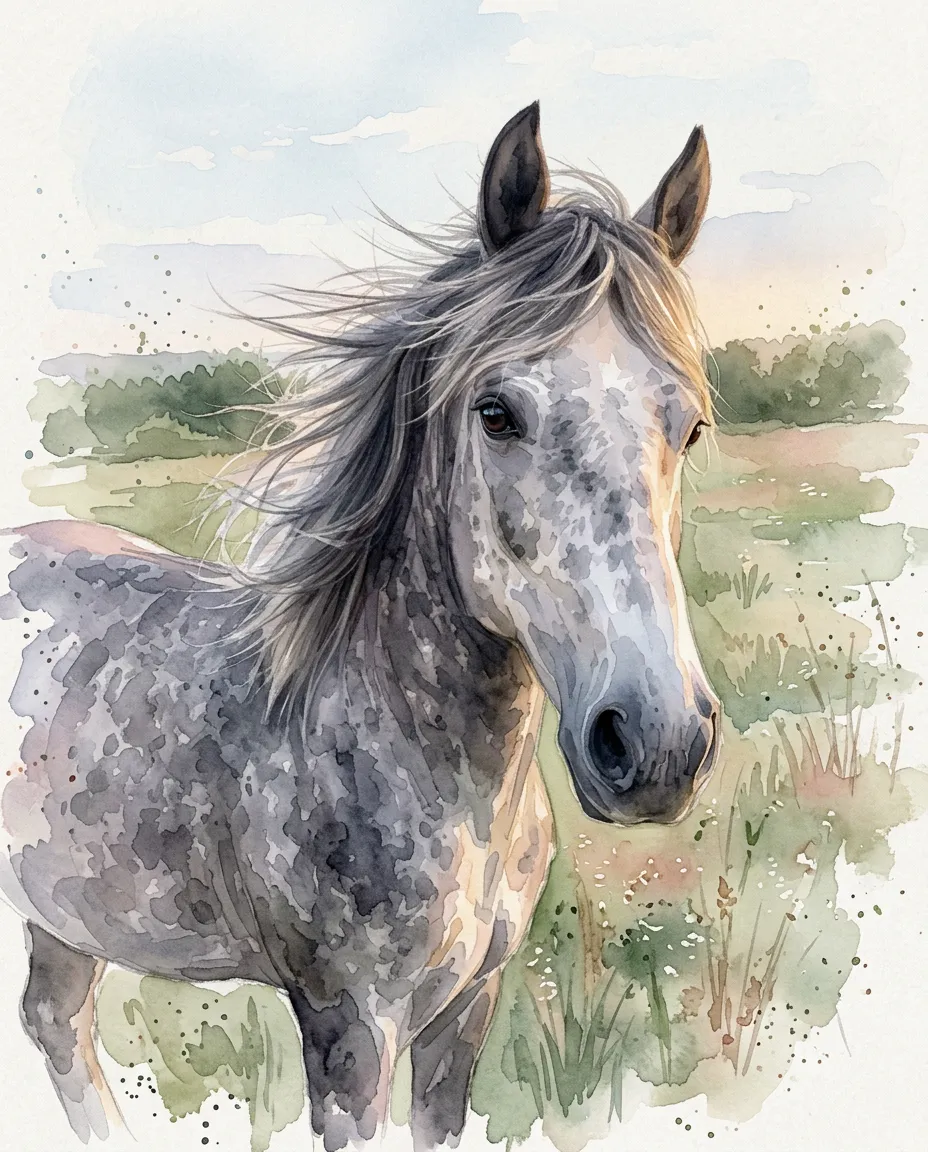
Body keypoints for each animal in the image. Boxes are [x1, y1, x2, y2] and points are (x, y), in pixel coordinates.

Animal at [0, 103, 718, 1150]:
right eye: (496, 412)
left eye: (690, 425)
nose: (657, 744)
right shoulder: (351, 1031)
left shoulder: (468, 1012)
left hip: (65, 909)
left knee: (56, 1022)